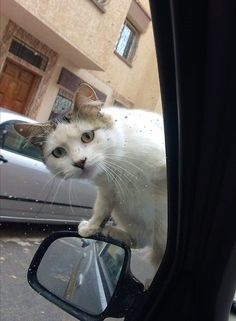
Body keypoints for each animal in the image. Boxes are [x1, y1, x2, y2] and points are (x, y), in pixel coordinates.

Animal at [15, 86, 167, 266]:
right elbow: (101, 208)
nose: (80, 162)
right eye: (58, 152)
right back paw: (114, 233)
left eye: (87, 136)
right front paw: (90, 227)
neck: (117, 165)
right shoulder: (107, 189)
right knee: (141, 241)